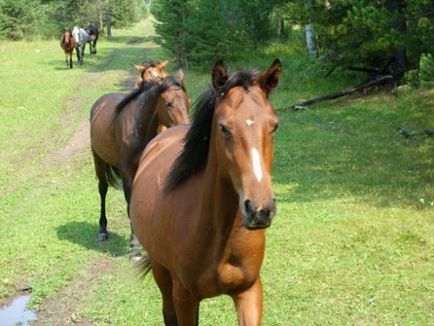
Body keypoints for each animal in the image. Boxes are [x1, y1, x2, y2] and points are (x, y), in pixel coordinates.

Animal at [89, 71, 189, 258]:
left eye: (187, 101)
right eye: (168, 103)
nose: (186, 131)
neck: (139, 128)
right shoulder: (127, 172)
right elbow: (130, 202)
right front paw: (135, 244)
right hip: (98, 159)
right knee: (102, 188)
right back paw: (102, 230)